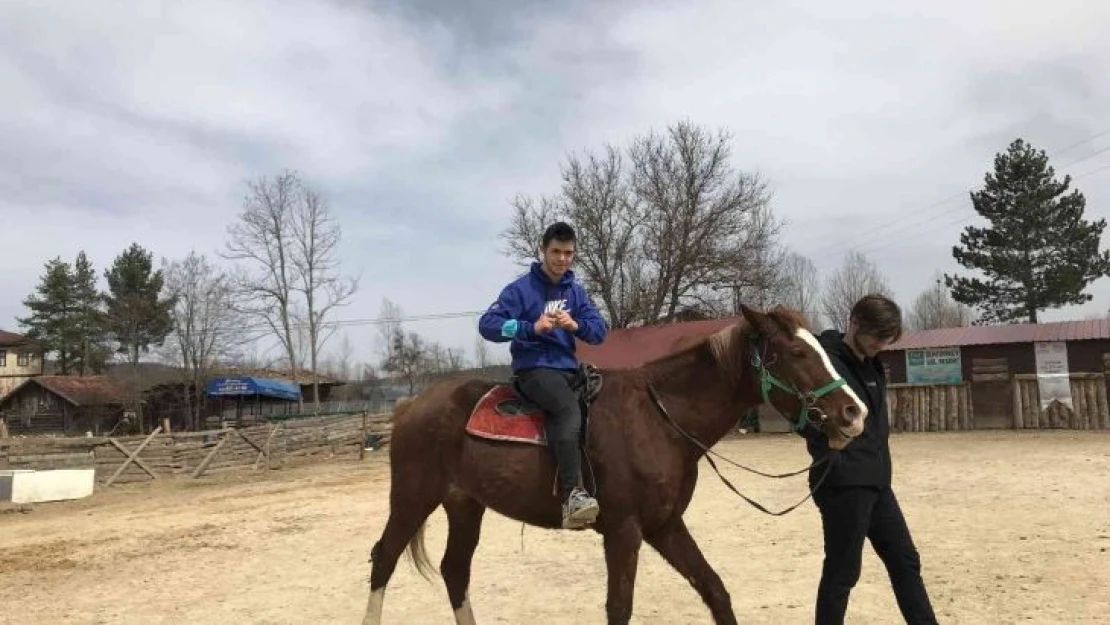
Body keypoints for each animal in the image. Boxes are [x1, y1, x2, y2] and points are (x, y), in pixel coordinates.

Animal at [364, 301, 865, 621]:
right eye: (797, 353)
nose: (854, 413)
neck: (660, 418)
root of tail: (410, 405)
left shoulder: (665, 527)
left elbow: (715, 591)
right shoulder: (624, 532)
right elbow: (619, 608)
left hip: (465, 505)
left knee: (455, 571)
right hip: (412, 497)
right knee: (384, 559)